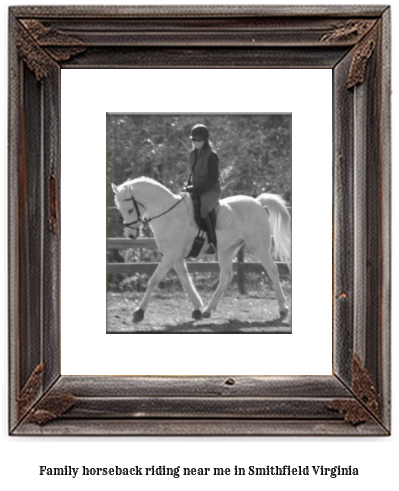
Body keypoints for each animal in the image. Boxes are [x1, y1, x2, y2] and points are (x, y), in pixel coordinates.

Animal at [111, 179, 292, 324]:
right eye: (120, 209)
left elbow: (153, 280)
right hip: (227, 250)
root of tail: (258, 203)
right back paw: (207, 311)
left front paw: (139, 312)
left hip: (258, 246)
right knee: (226, 276)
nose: (130, 235)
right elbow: (185, 281)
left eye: (130, 209)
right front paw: (197, 308)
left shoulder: (170, 256)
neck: (168, 215)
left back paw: (283, 309)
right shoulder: (176, 257)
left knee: (272, 270)